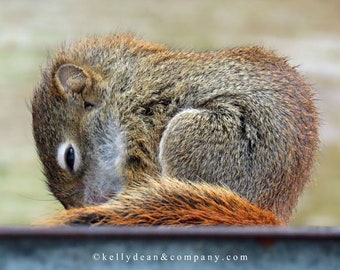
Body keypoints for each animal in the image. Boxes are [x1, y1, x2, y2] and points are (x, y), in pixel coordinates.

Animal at [31, 33, 318, 226]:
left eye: (70, 156)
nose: (79, 206)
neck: (123, 89)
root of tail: (268, 210)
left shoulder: (142, 124)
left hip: (194, 138)